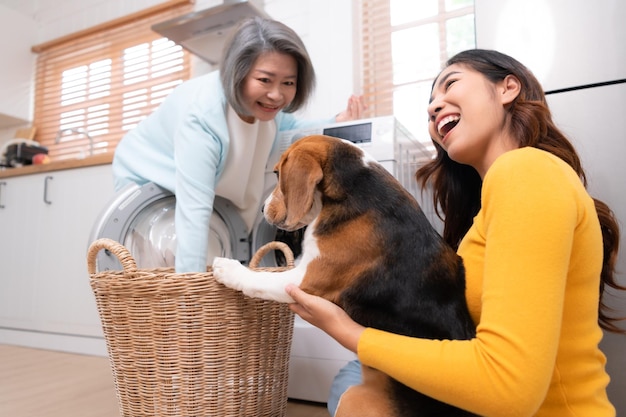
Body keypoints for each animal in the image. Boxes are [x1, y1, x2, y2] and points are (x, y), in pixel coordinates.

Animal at [212, 135, 476, 414]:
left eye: (276, 173)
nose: (262, 209)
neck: (354, 188)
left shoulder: (307, 277)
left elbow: (260, 279)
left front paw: (229, 268)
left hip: (353, 398)